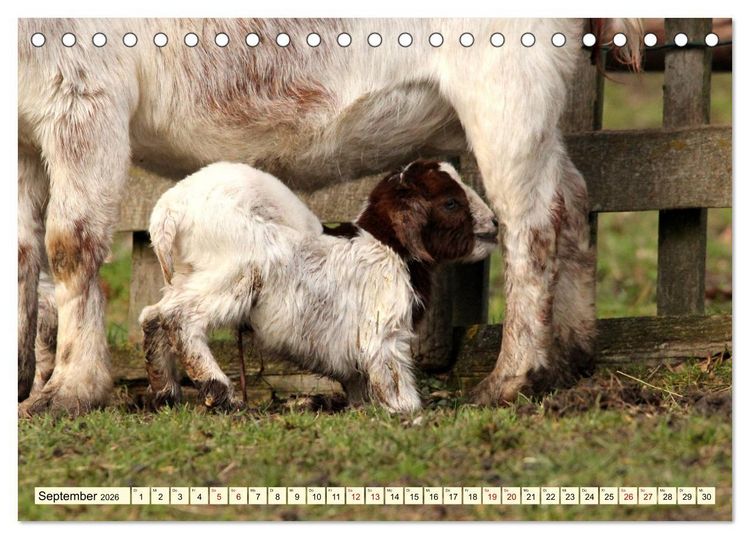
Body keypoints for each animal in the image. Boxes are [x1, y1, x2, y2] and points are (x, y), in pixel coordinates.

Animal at [139, 160, 498, 412]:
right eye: (450, 203)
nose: (494, 223)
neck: (389, 246)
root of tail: (169, 212)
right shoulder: (383, 330)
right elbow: (391, 372)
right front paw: (405, 409)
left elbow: (358, 378)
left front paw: (360, 406)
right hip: (232, 275)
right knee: (179, 318)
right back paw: (219, 392)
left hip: (189, 276)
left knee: (152, 315)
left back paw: (165, 391)